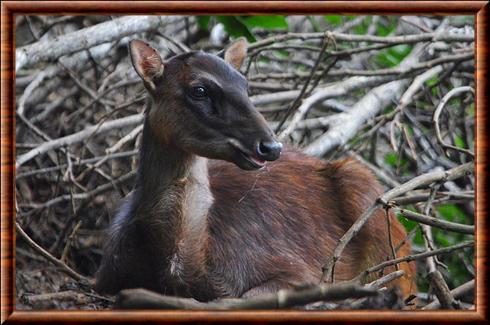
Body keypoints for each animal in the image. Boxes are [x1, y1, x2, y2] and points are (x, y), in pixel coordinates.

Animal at [94, 39, 416, 302]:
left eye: (245, 86)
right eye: (199, 90)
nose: (270, 146)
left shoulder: (297, 270)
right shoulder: (105, 278)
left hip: (371, 203)